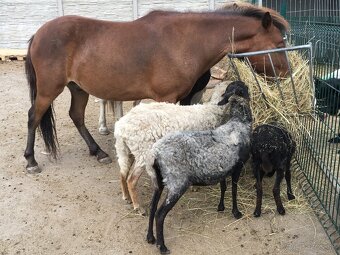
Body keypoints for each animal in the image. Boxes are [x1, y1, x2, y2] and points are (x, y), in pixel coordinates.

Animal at [24, 2, 290, 173]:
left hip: (78, 88)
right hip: (49, 90)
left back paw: (97, 152)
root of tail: (38, 34)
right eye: (278, 44)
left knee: (76, 116)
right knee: (33, 117)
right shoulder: (168, 98)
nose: (287, 75)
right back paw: (31, 161)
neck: (186, 41)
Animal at [114, 80, 244, 214]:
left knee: (123, 172)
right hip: (143, 152)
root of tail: (120, 127)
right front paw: (194, 187)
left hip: (126, 150)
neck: (211, 111)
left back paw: (126, 197)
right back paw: (138, 207)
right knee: (131, 179)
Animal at [146, 90, 252, 254]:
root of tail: (155, 153)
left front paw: (221, 207)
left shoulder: (223, 167)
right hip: (177, 183)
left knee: (152, 207)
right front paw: (236, 212)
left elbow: (223, 187)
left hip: (159, 181)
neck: (239, 122)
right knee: (160, 214)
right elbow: (234, 189)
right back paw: (162, 246)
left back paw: (150, 238)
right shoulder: (238, 166)